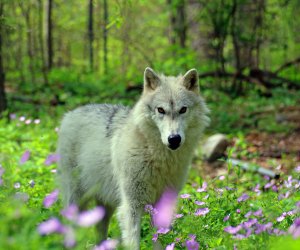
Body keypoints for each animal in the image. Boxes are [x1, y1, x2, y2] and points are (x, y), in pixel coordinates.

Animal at [56, 67, 209, 249]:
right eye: (161, 110)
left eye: (183, 109)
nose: (174, 139)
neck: (158, 158)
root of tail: (71, 113)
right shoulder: (131, 207)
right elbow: (133, 241)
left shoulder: (161, 206)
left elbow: (159, 238)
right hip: (76, 200)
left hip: (105, 207)